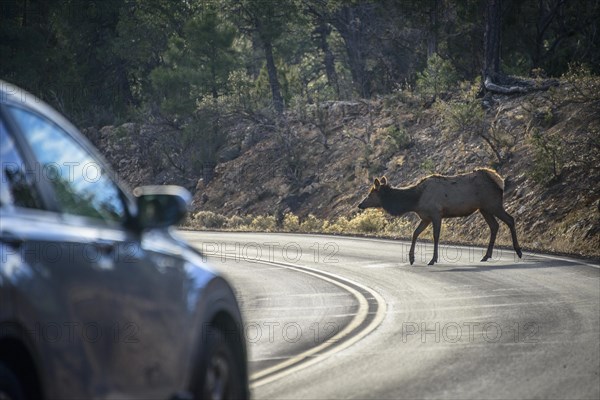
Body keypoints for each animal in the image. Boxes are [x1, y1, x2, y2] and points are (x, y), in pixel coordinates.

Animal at [358, 169, 524, 266]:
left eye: (371, 193)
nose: (360, 204)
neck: (415, 200)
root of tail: (500, 181)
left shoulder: (436, 213)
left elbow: (436, 236)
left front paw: (433, 259)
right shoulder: (425, 217)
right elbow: (415, 233)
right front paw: (411, 258)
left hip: (493, 204)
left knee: (510, 219)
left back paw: (518, 251)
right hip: (484, 208)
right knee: (494, 226)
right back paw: (486, 256)